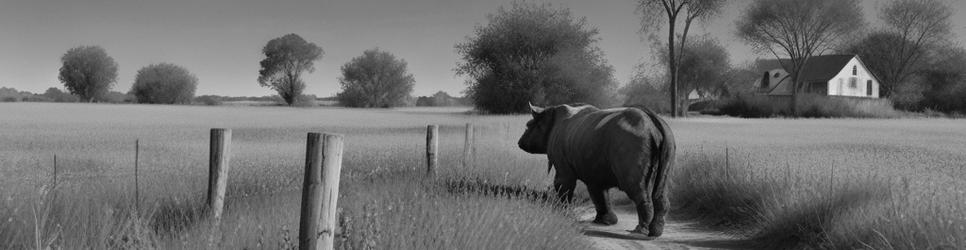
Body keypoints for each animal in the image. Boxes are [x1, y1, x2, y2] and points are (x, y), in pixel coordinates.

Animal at [520, 103, 672, 236]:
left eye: (528, 126)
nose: (520, 142)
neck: (549, 118)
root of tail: (653, 123)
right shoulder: (594, 169)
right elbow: (599, 193)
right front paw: (606, 222)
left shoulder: (564, 168)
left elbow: (563, 185)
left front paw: (562, 214)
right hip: (667, 138)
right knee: (660, 187)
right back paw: (655, 232)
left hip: (633, 139)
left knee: (634, 186)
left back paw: (639, 231)